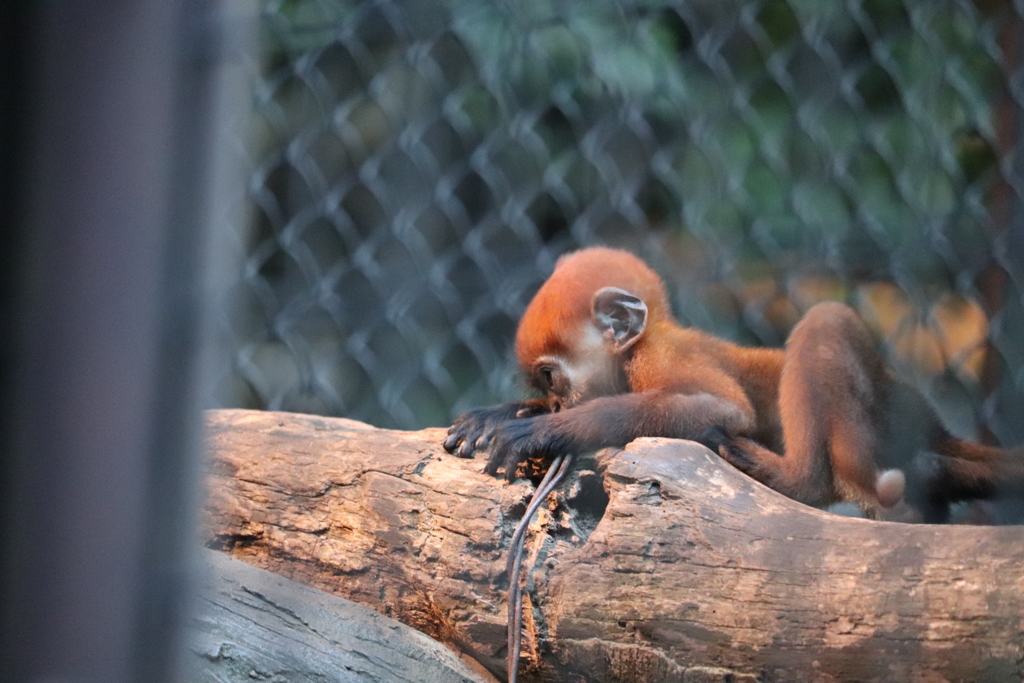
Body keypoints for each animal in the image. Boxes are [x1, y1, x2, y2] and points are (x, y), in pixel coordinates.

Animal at [444, 248, 1024, 520]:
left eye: (551, 376)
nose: (556, 401)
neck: (636, 350)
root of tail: (937, 433)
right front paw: (501, 416)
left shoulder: (659, 358)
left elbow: (722, 408)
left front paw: (543, 431)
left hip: (884, 416)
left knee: (825, 322)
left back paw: (796, 478)